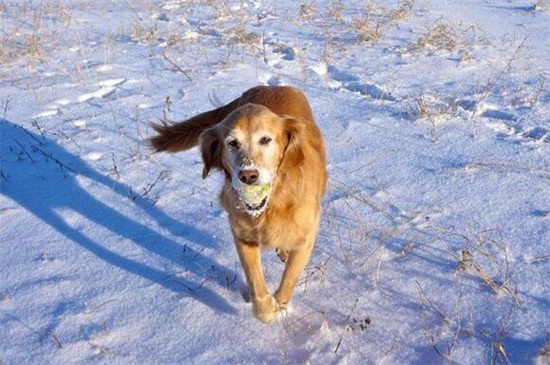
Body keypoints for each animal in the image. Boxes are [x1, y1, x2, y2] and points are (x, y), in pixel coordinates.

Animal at [150, 85, 328, 322]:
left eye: (265, 140)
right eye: (232, 143)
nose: (248, 176)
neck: (273, 204)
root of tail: (269, 86)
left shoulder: (305, 240)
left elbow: (289, 278)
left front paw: (280, 305)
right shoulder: (243, 236)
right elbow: (254, 280)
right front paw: (266, 309)